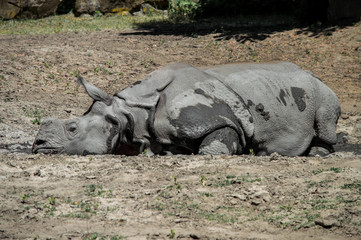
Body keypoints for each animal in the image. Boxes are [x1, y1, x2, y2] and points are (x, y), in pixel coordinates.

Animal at [31, 62, 340, 157]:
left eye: (72, 128)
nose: (37, 146)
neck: (130, 113)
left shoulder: (221, 121)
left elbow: (215, 146)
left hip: (322, 88)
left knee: (326, 120)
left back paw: (318, 153)